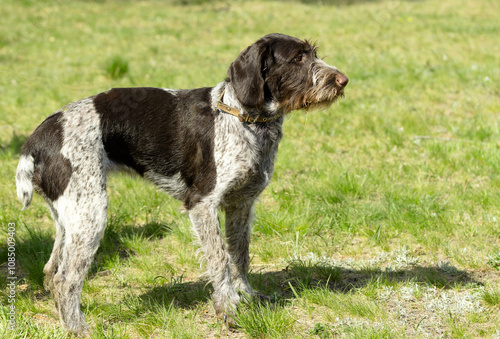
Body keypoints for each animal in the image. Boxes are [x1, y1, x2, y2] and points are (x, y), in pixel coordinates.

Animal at [15, 32, 348, 338]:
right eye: (298, 58)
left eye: (314, 53)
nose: (343, 80)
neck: (245, 118)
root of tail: (36, 140)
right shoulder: (202, 204)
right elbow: (220, 260)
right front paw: (228, 310)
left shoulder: (241, 204)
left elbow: (239, 256)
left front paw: (247, 297)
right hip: (91, 214)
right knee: (65, 280)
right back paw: (79, 329)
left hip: (70, 217)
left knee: (51, 271)